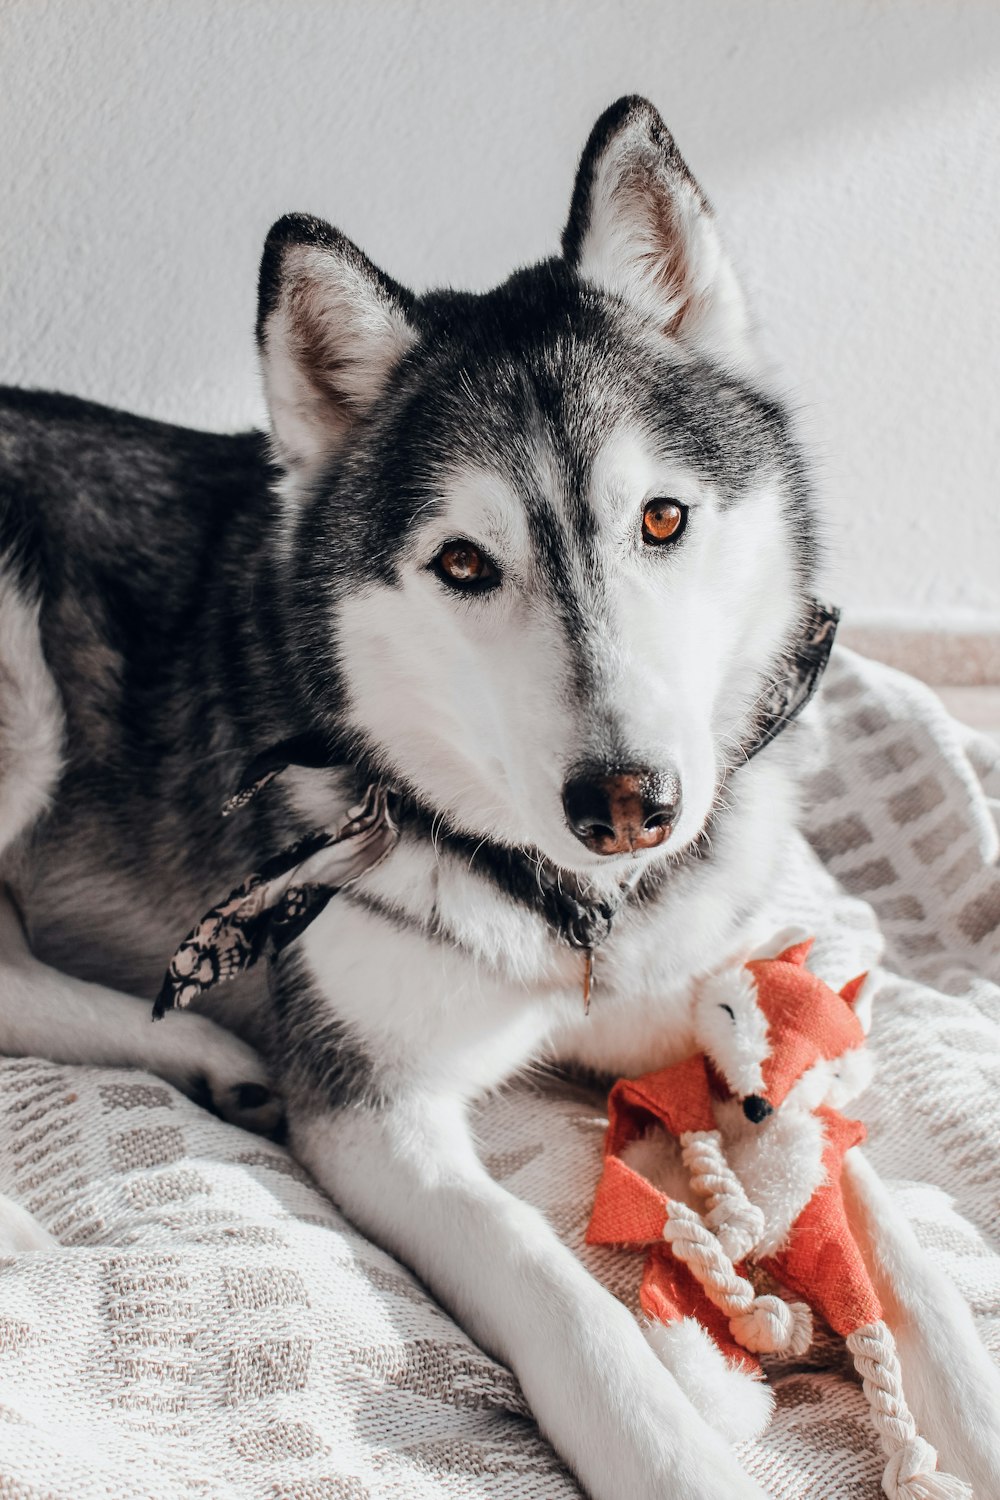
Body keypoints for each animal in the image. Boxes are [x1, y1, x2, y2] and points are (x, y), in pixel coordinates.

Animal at [1, 99, 1000, 1494]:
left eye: (662, 520)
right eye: (464, 563)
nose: (626, 802)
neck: (570, 907)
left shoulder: (725, 1001)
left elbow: (888, 1234)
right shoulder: (379, 1119)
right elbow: (557, 1296)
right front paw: (674, 1449)